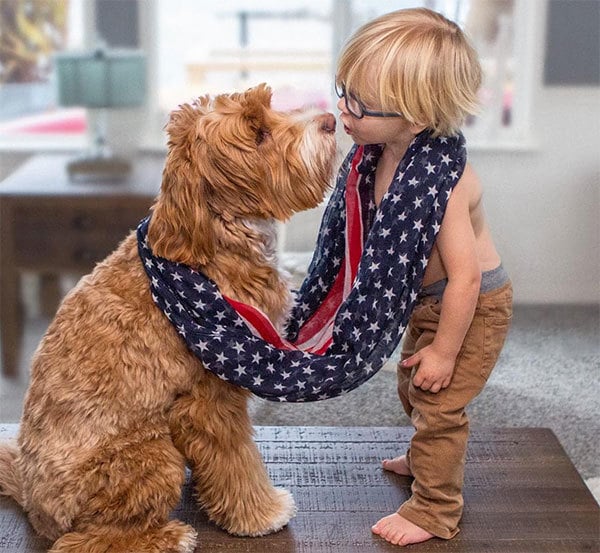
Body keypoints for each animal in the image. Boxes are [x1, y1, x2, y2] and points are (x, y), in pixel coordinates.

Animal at [0, 83, 338, 552]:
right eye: (258, 134)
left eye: (271, 108)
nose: (330, 121)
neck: (215, 234)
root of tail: (34, 502)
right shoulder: (210, 398)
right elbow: (238, 461)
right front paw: (260, 513)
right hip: (149, 454)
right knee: (85, 541)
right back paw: (165, 535)